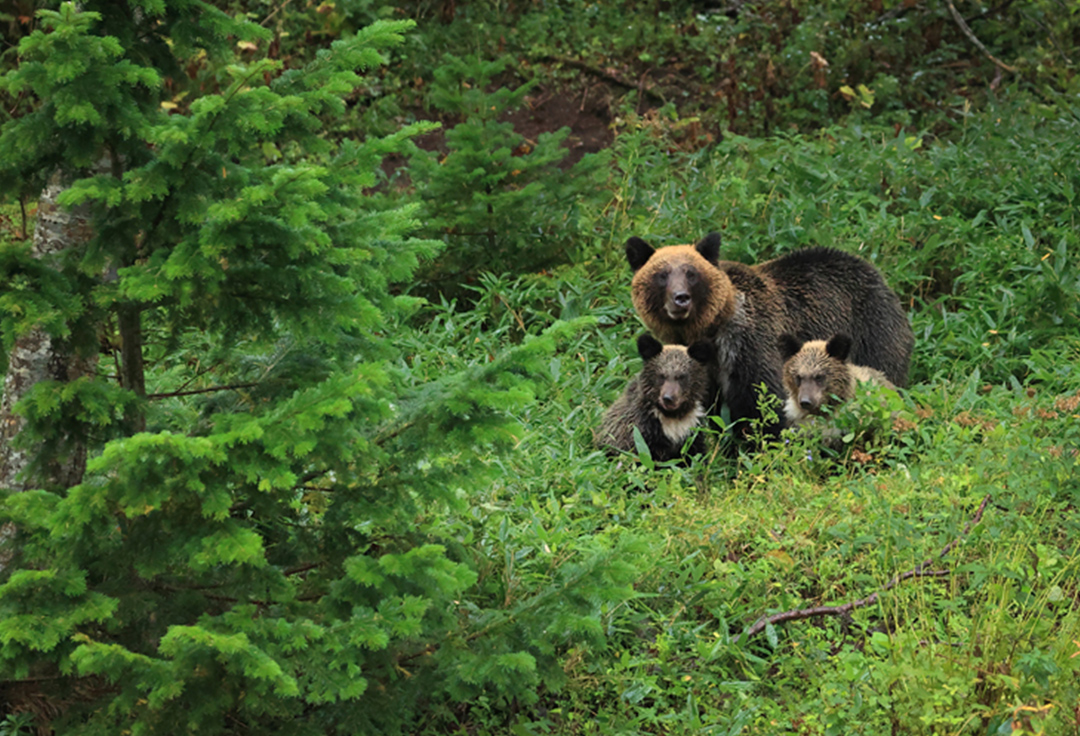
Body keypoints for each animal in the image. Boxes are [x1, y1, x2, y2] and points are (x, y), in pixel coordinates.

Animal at [626, 231, 911, 436]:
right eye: (662, 274)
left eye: (691, 273)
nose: (680, 298)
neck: (709, 331)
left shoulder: (750, 347)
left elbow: (763, 406)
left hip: (872, 332)